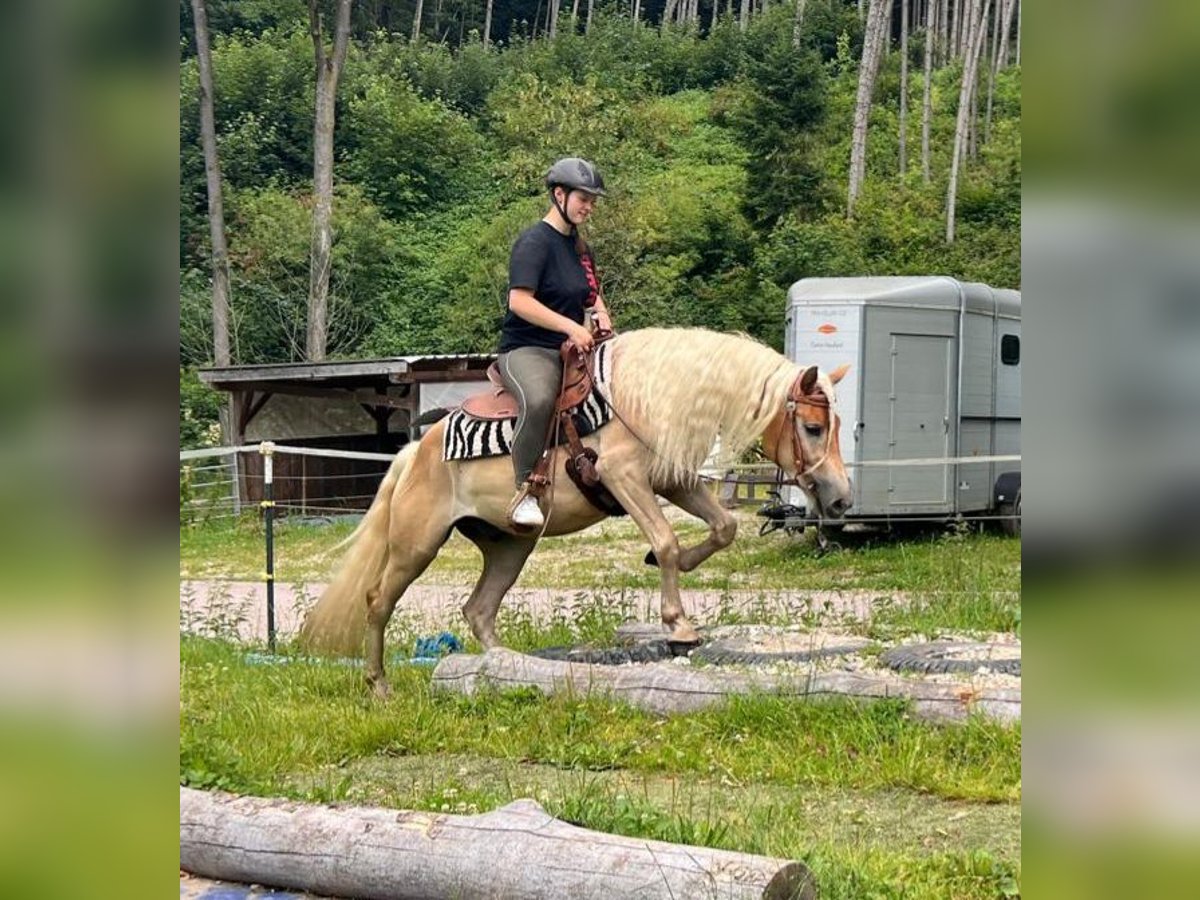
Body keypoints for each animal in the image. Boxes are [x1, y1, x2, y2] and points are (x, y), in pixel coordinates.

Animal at [304, 326, 859, 696]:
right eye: (813, 427)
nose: (841, 500)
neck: (647, 397)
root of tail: (416, 452)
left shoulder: (672, 481)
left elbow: (723, 528)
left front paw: (674, 573)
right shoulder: (623, 477)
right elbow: (666, 540)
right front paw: (678, 625)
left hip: (509, 546)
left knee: (479, 610)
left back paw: (503, 668)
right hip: (415, 545)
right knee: (378, 601)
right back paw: (379, 686)